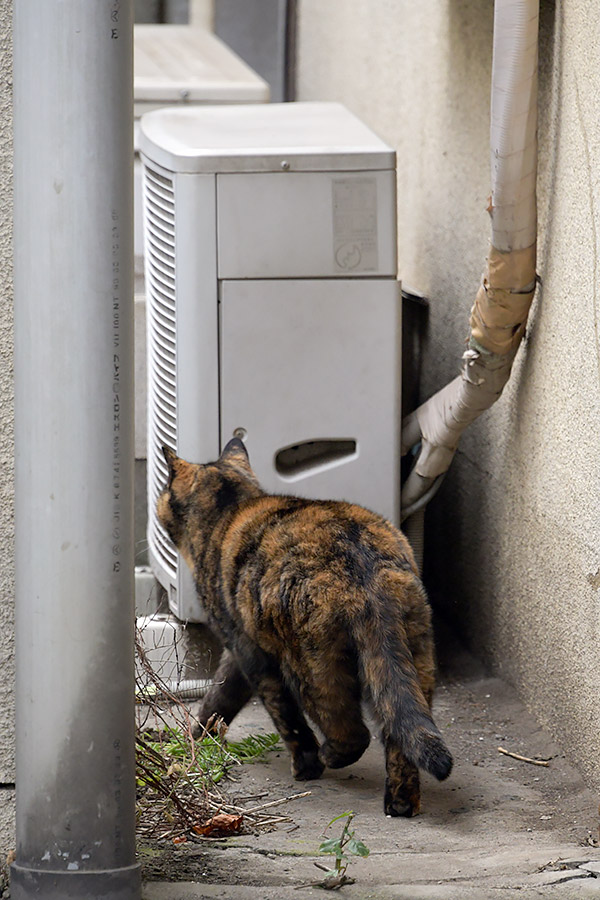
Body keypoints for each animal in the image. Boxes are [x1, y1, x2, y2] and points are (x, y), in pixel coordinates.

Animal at [157, 440, 452, 820]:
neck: (230, 509)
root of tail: (361, 558)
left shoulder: (249, 652)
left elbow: (276, 712)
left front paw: (306, 765)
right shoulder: (240, 650)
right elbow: (219, 696)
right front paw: (199, 737)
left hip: (311, 666)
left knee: (352, 731)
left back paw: (329, 757)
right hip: (414, 657)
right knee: (401, 730)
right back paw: (400, 804)